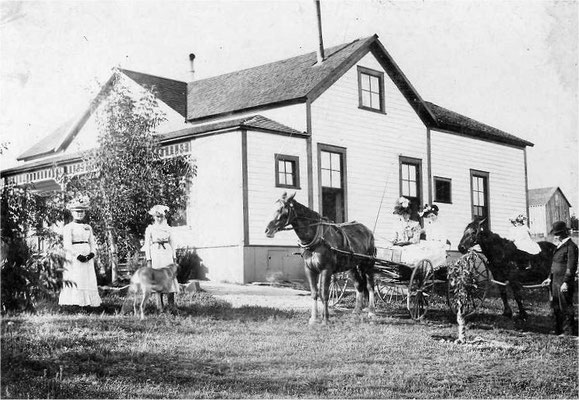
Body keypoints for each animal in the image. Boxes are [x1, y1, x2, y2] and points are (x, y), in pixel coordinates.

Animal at [266, 191, 378, 324]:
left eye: (281, 209)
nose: (267, 230)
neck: (316, 239)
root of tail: (368, 231)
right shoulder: (309, 270)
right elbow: (315, 293)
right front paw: (314, 319)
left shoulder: (326, 270)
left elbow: (324, 294)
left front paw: (325, 319)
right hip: (352, 267)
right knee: (359, 285)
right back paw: (356, 311)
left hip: (368, 264)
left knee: (370, 286)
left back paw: (371, 312)